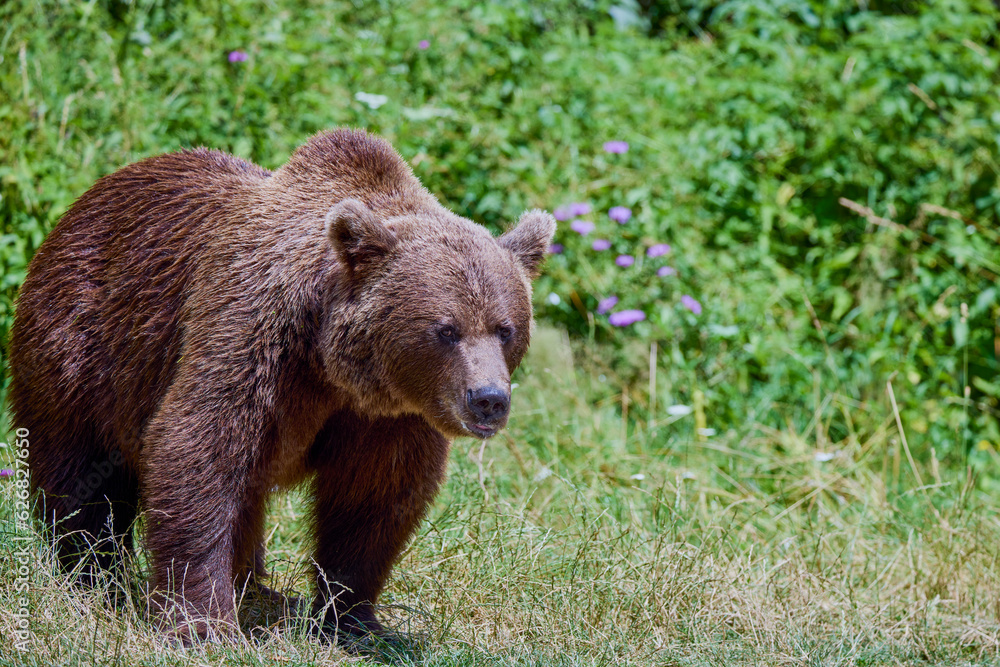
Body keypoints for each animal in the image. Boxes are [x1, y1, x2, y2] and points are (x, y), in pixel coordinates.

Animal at [5, 128, 556, 644]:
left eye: (505, 328)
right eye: (446, 329)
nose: (488, 399)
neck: (333, 366)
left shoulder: (388, 415)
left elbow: (376, 496)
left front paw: (356, 620)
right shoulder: (251, 333)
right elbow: (197, 449)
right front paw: (203, 623)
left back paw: (256, 587)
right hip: (84, 348)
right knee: (80, 472)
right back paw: (90, 575)